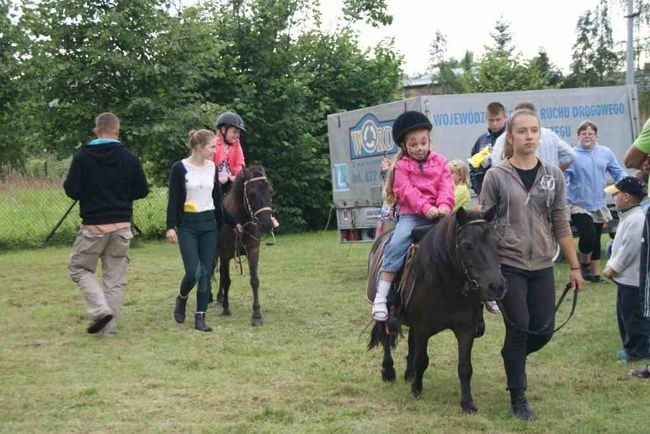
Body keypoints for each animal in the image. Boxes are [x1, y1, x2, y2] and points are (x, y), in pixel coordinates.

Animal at [214, 166, 272, 326]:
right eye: (251, 193)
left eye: (270, 191)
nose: (267, 224)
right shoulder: (225, 254)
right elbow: (226, 280)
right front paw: (226, 308)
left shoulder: (253, 250)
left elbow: (254, 280)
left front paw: (257, 315)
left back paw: (219, 297)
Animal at [368, 207, 504, 414]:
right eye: (467, 245)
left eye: (497, 242)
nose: (496, 287)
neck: (445, 281)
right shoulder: (423, 328)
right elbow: (422, 359)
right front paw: (416, 390)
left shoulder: (465, 329)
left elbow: (465, 367)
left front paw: (467, 403)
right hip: (383, 314)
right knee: (385, 339)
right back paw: (389, 372)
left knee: (410, 343)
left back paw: (409, 373)